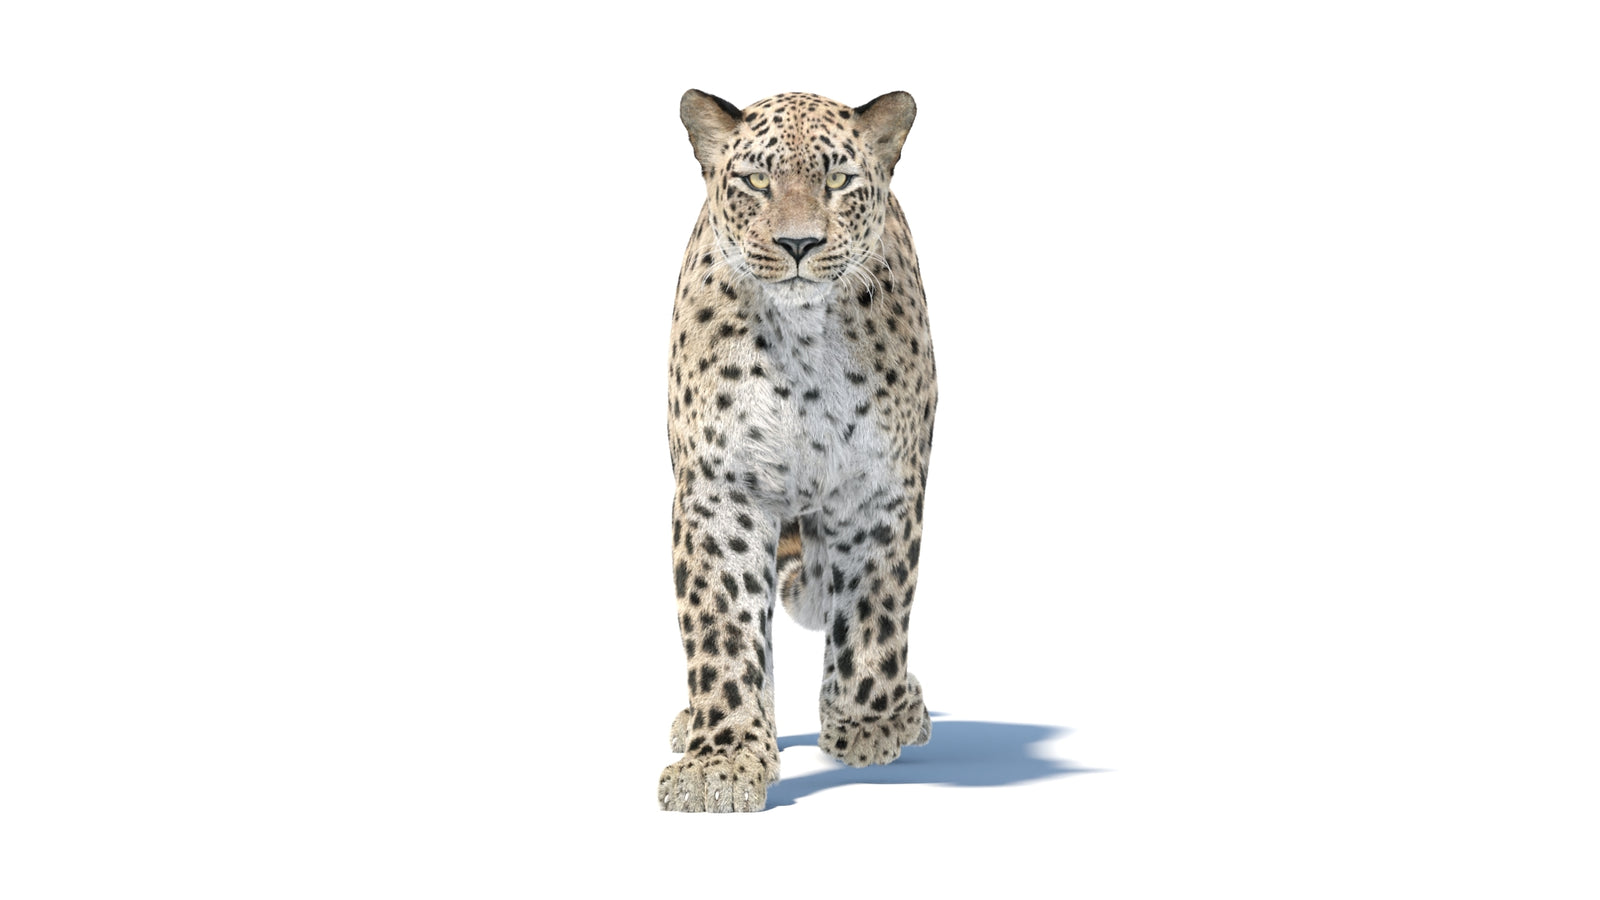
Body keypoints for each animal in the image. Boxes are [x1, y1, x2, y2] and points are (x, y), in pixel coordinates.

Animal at [659, 90, 936, 812]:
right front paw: (721, 760)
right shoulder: (722, 489)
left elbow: (873, 606)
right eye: (757, 182)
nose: (798, 243)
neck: (803, 340)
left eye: (837, 181)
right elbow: (722, 625)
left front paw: (869, 722)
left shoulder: (877, 485)